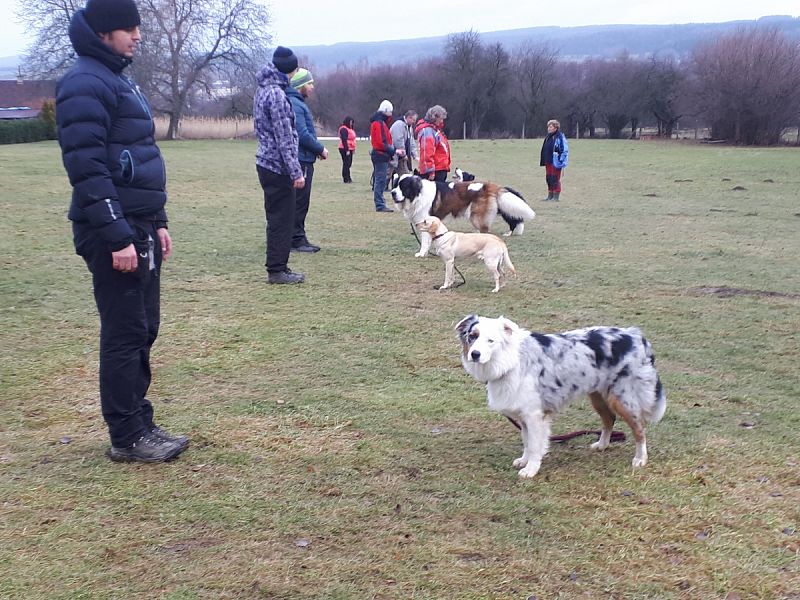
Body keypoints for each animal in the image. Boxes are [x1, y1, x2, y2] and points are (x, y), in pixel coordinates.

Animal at [390, 173, 536, 258]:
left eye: (403, 187)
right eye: (395, 185)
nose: (392, 193)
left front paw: (421, 253)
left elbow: (425, 241)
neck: (417, 194)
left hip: (477, 217)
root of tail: (489, 185)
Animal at [454, 314, 664, 478]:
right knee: (609, 419)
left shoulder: (534, 415)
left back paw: (640, 458)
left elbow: (535, 444)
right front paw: (524, 460)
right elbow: (527, 442)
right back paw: (602, 445)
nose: (475, 354)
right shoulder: (524, 415)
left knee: (639, 428)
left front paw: (531, 469)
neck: (510, 361)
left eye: (491, 340)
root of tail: (636, 335)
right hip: (597, 395)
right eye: (472, 336)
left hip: (622, 398)